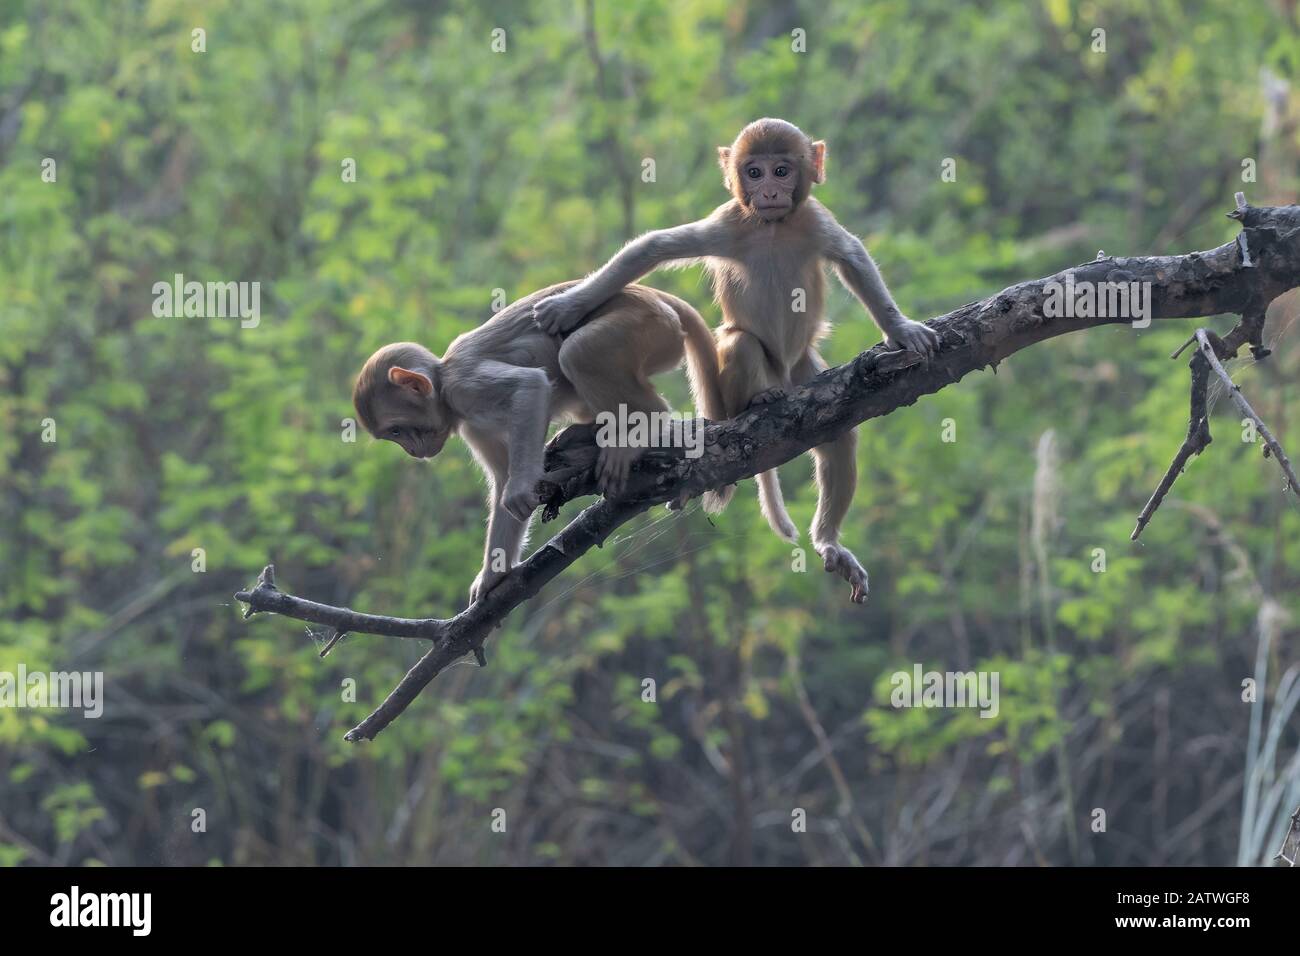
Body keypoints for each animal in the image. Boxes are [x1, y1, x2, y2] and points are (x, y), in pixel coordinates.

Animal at [353, 281, 725, 605]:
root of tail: (652, 294)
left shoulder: (465, 387)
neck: (443, 384)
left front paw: (520, 489)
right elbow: (502, 475)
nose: (414, 452)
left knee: (579, 352)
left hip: (643, 327)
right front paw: (493, 575)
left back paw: (642, 424)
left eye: (397, 431)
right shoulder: (472, 425)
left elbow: (529, 387)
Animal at [532, 118, 940, 603]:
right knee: (742, 343)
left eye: (781, 170)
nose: (769, 191)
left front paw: (901, 329)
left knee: (839, 437)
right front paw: (570, 305)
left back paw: (828, 540)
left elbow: (853, 258)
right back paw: (757, 402)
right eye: (754, 172)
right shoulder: (729, 221)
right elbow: (653, 248)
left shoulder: (814, 219)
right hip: (747, 379)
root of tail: (783, 375)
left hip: (804, 369)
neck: (772, 227)